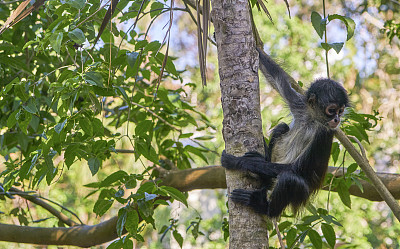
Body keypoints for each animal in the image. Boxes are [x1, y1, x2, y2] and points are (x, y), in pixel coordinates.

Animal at [220, 47, 348, 218]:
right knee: (282, 127)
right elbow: (277, 77)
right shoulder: (299, 104)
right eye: (332, 110)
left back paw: (264, 207)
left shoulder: (324, 132)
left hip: (300, 194)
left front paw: (236, 162)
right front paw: (257, 47)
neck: (312, 119)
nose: (337, 119)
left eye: (340, 111)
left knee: (289, 179)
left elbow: (294, 169)